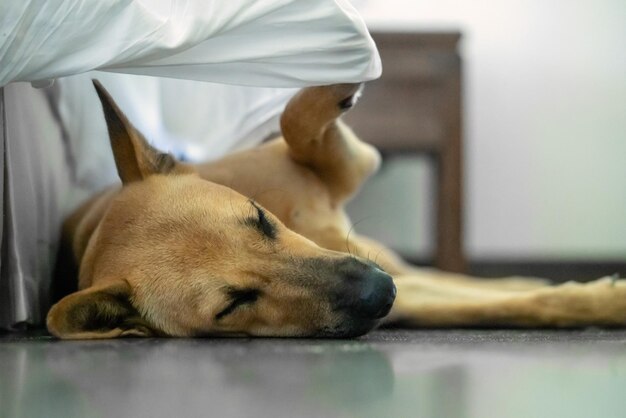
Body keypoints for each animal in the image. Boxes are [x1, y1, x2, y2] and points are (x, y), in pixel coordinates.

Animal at [46, 81, 624, 340]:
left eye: (259, 218)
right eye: (234, 304)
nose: (378, 292)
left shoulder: (347, 165)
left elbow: (296, 119)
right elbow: (507, 305)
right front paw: (600, 302)